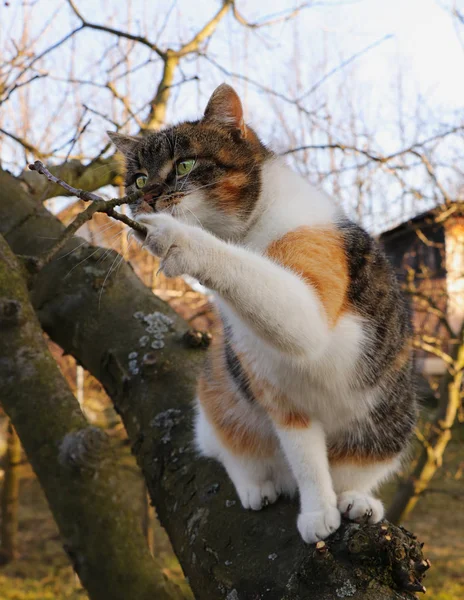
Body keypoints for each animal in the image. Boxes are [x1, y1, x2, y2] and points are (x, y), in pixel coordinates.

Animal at [109, 84, 416, 544]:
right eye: (139, 178)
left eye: (184, 164)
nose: (147, 198)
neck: (244, 231)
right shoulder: (277, 394)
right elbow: (306, 459)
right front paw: (317, 511)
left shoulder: (309, 301)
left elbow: (258, 280)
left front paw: (179, 239)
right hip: (220, 384)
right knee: (227, 446)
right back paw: (257, 485)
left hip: (392, 420)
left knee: (357, 466)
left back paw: (357, 500)